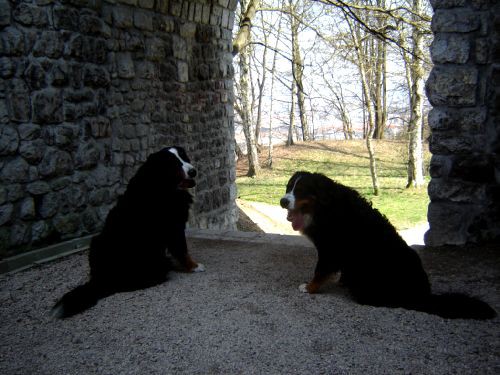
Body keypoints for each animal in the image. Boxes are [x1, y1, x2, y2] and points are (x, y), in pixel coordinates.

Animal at [51, 145, 204, 318]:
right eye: (173, 164)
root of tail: (100, 280)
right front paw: (194, 266)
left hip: (95, 241)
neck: (163, 186)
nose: (193, 171)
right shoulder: (173, 227)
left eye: (184, 157)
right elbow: (182, 250)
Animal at [280, 172, 494, 322]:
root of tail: (423, 295)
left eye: (301, 190)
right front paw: (338, 281)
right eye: (288, 187)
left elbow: (320, 271)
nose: (283, 201)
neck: (325, 207)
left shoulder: (330, 249)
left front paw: (309, 287)